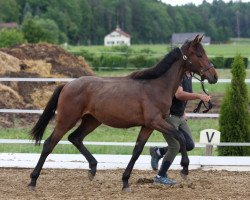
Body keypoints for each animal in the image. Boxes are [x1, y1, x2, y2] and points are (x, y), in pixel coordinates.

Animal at [28, 35, 218, 191]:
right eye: (199, 55)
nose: (214, 76)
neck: (156, 86)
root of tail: (67, 84)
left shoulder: (148, 126)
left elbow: (137, 150)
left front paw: (125, 181)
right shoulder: (156, 122)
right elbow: (180, 137)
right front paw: (185, 168)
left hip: (92, 120)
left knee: (75, 138)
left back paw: (93, 168)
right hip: (66, 119)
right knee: (49, 144)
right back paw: (33, 181)